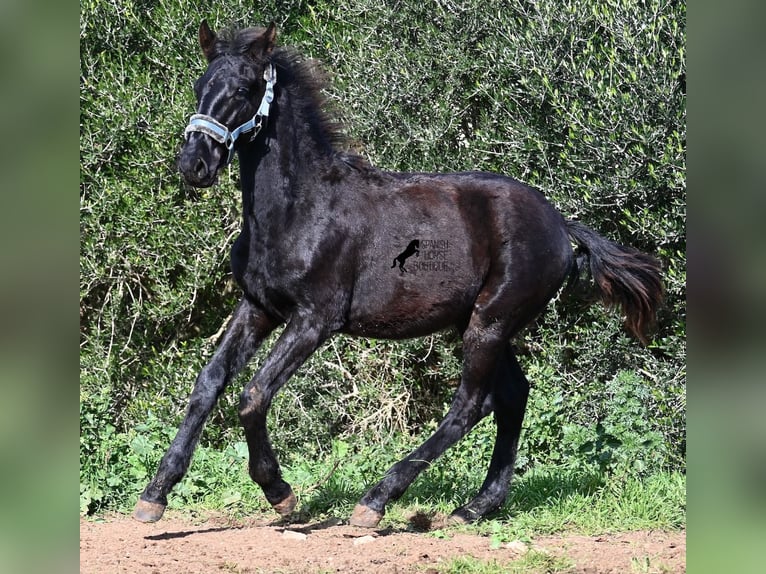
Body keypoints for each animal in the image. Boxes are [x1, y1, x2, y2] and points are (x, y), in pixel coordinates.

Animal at [135, 20, 664, 528]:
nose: (194, 164)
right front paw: (154, 495)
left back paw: (376, 501)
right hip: (484, 323)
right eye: (200, 84)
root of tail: (559, 223)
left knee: (472, 405)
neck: (298, 209)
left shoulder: (316, 319)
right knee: (513, 397)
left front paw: (280, 493)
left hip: (491, 322)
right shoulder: (260, 307)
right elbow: (208, 384)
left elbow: (253, 394)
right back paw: (476, 507)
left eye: (244, 89)